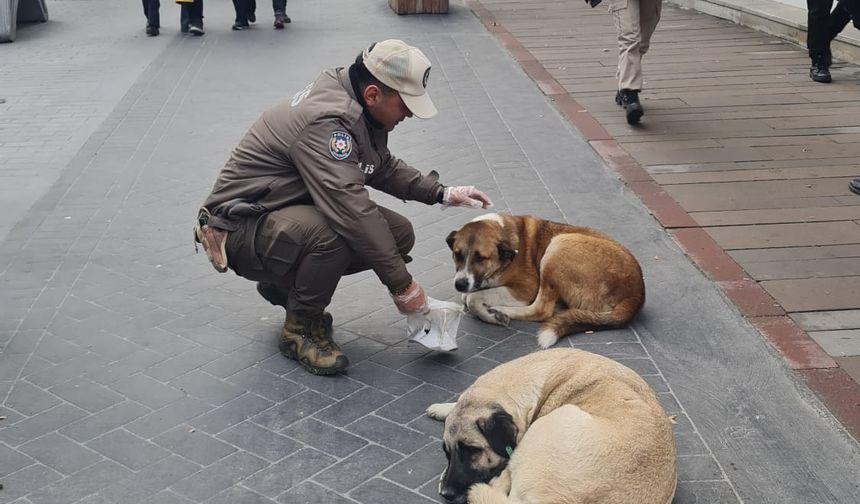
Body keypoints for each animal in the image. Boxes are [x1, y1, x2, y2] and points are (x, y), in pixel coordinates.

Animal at [446, 212, 640, 346]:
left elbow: (472, 299)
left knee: (542, 310)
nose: (459, 284)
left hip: (557, 247)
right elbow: (469, 296)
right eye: (457, 254)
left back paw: (500, 310)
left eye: (480, 258)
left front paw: (489, 314)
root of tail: (636, 293)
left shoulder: (525, 288)